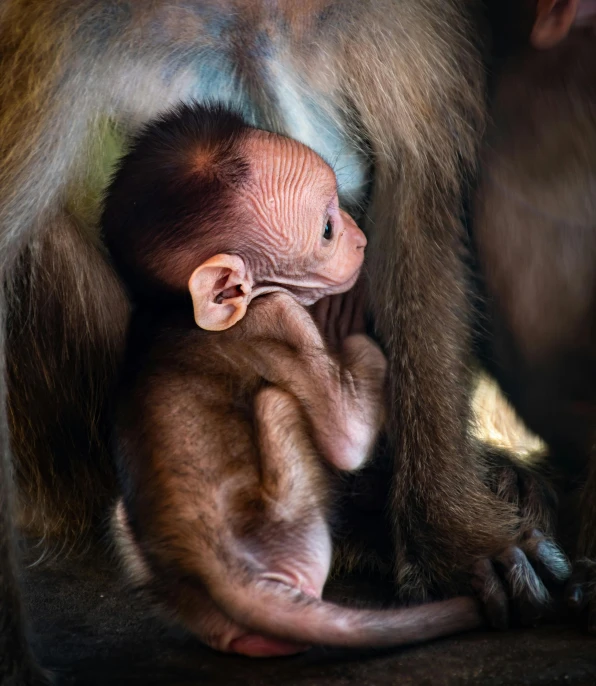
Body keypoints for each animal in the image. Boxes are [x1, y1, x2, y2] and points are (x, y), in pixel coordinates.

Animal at [102, 105, 484, 660]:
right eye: (326, 229)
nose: (360, 240)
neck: (179, 307)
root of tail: (218, 574)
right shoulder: (279, 314)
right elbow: (345, 439)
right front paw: (349, 332)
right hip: (292, 524)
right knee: (280, 404)